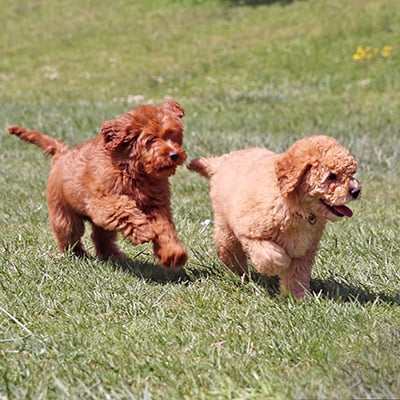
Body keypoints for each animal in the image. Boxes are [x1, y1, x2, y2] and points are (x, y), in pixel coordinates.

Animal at [8, 100, 189, 268]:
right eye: (151, 139)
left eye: (172, 135)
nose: (174, 154)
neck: (134, 171)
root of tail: (62, 153)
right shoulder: (102, 202)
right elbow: (123, 208)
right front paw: (144, 231)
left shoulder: (157, 206)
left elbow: (165, 229)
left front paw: (174, 254)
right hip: (64, 215)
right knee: (68, 237)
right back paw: (77, 255)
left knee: (101, 237)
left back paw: (113, 255)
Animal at [189, 136, 360, 298]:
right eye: (332, 176)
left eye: (351, 173)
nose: (356, 191)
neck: (295, 207)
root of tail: (221, 162)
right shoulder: (252, 234)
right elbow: (270, 256)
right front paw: (282, 263)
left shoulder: (304, 249)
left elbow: (297, 275)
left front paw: (296, 298)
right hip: (226, 226)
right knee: (229, 250)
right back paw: (238, 275)